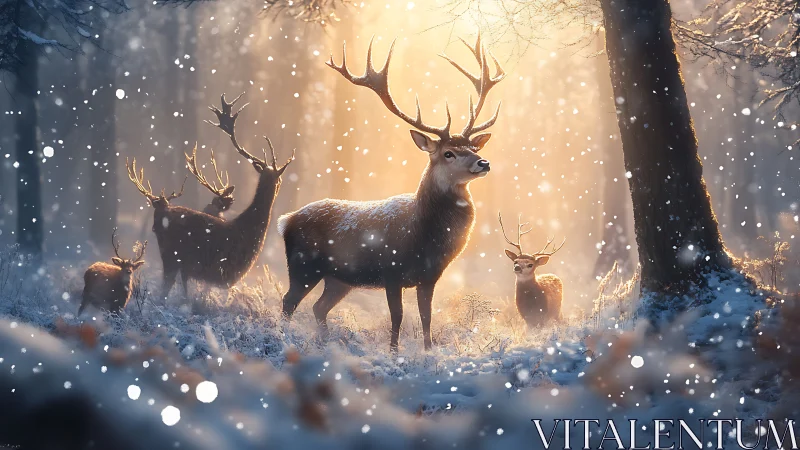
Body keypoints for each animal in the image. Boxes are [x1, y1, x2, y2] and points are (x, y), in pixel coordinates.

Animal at [126, 93, 293, 299]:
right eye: (279, 179)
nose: (279, 185)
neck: (249, 230)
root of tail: (160, 216)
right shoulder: (221, 269)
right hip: (174, 256)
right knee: (165, 287)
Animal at [278, 34, 504, 352]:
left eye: (473, 147)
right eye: (448, 153)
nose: (483, 162)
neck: (423, 236)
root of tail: (285, 220)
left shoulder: (429, 277)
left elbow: (426, 316)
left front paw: (427, 351)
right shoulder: (392, 271)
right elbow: (397, 317)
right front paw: (394, 352)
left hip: (340, 278)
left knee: (318, 307)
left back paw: (325, 342)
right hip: (303, 265)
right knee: (289, 301)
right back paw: (284, 337)